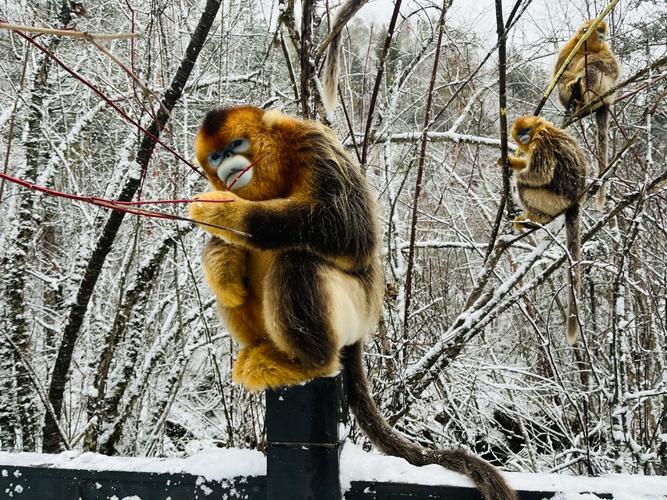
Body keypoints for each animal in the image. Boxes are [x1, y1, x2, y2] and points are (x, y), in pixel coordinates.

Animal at [190, 105, 520, 500]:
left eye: (237, 144)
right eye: (215, 156)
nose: (226, 165)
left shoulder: (316, 149)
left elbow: (349, 233)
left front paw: (227, 212)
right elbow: (224, 256)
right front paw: (221, 264)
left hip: (354, 309)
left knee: (298, 259)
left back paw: (308, 362)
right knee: (241, 284)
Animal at [504, 116, 588, 344]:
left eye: (527, 130)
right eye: (520, 132)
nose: (523, 137)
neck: (542, 128)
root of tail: (575, 201)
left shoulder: (541, 142)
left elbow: (539, 174)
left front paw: (516, 171)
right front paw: (510, 161)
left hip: (552, 200)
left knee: (526, 185)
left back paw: (532, 221)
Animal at [552, 18, 620, 210]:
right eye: (598, 31)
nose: (602, 36)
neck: (585, 47)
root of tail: (605, 102)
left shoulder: (605, 51)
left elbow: (611, 68)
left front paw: (589, 60)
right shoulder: (569, 48)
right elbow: (560, 76)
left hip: (605, 90)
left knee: (592, 69)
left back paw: (585, 96)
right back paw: (576, 99)